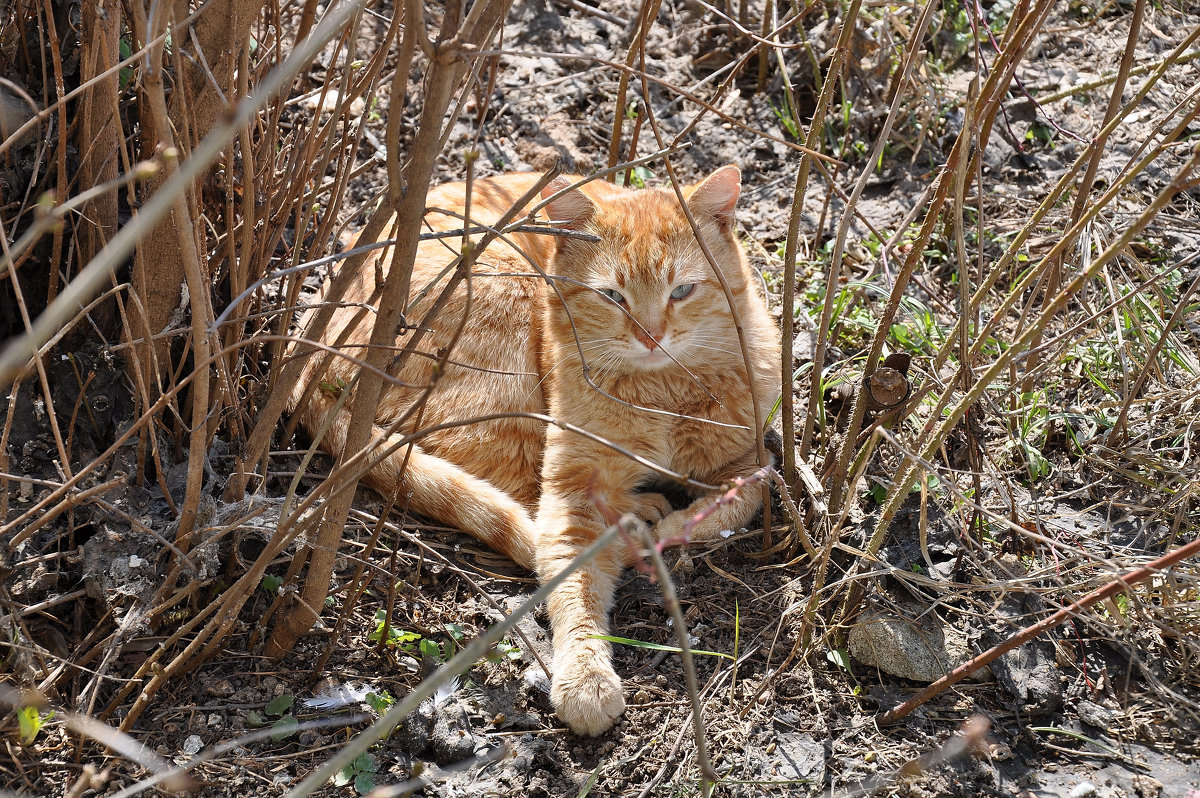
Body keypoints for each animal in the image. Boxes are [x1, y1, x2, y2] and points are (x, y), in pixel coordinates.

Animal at [285, 166, 782, 734]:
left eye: (682, 290)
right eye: (613, 296)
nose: (652, 336)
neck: (663, 392)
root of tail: (309, 339)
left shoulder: (752, 457)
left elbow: (745, 496)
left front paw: (680, 525)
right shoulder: (571, 489)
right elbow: (572, 575)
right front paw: (586, 678)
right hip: (504, 360)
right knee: (522, 513)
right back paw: (636, 518)